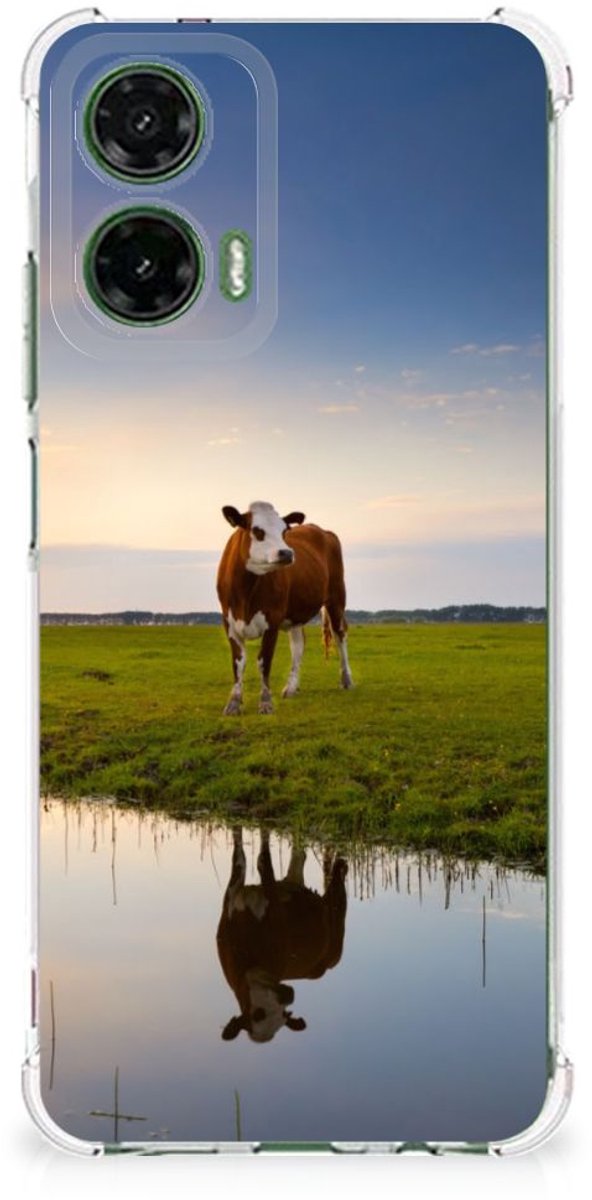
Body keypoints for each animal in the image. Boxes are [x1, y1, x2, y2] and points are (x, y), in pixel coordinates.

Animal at [216, 501, 353, 715]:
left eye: (284, 531)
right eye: (257, 531)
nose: (287, 553)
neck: (245, 592)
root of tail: (323, 530)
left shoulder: (272, 620)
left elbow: (264, 661)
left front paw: (265, 702)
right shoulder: (229, 623)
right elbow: (238, 663)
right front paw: (234, 703)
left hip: (337, 597)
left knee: (340, 634)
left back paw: (346, 679)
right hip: (295, 613)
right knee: (298, 645)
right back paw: (291, 687)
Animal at [216, 827, 348, 1043]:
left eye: (284, 1015)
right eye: (258, 1014)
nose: (288, 995)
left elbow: (263, 861)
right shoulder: (231, 896)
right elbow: (240, 856)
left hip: (336, 923)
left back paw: (341, 865)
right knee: (299, 856)